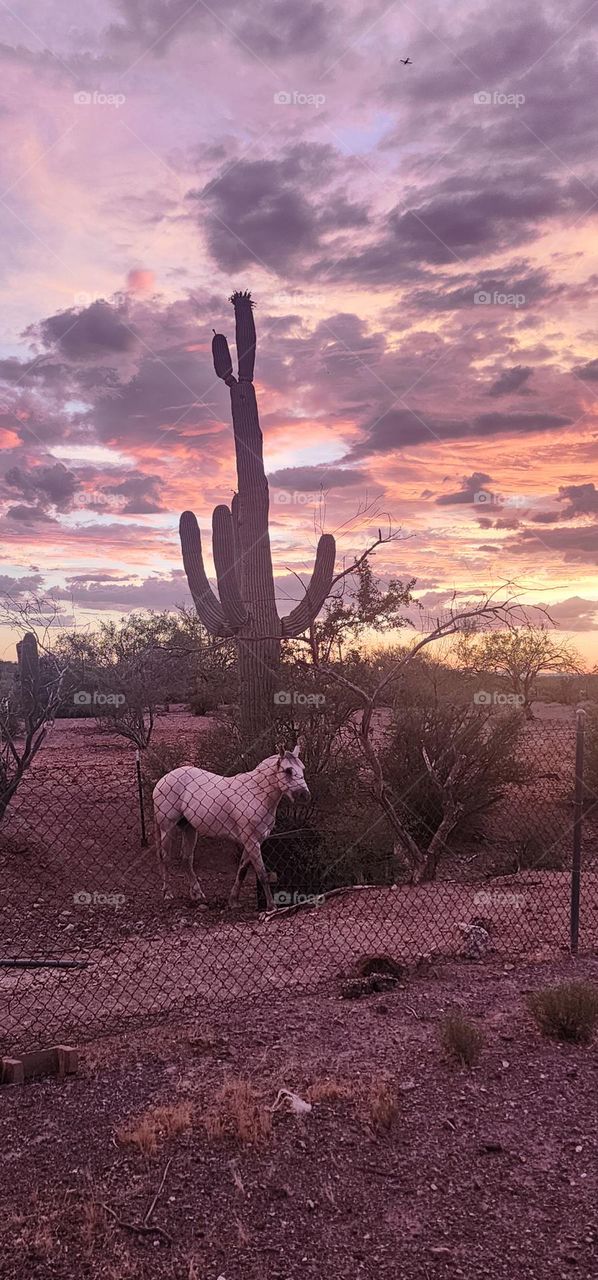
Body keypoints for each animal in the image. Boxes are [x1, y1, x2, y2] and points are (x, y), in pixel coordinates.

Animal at [152, 746, 310, 910]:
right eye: (288, 770)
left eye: (302, 768)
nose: (304, 795)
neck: (256, 794)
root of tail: (162, 780)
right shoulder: (251, 842)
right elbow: (262, 874)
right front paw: (272, 907)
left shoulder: (254, 842)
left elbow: (242, 870)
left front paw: (233, 901)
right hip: (167, 829)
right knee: (166, 858)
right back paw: (168, 893)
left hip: (189, 829)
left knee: (186, 859)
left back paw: (197, 894)